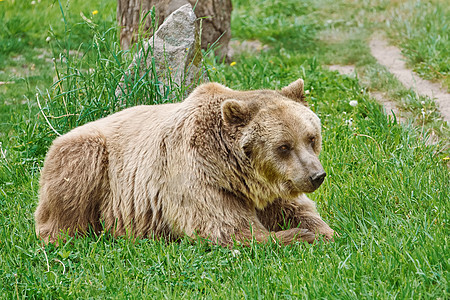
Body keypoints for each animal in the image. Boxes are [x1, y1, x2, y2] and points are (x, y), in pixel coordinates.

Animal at [35, 78, 336, 245]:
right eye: (283, 146)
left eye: (311, 138)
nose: (315, 175)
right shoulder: (196, 177)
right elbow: (228, 229)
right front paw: (300, 236)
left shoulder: (271, 189)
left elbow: (297, 209)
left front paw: (321, 231)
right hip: (88, 156)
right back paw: (65, 235)